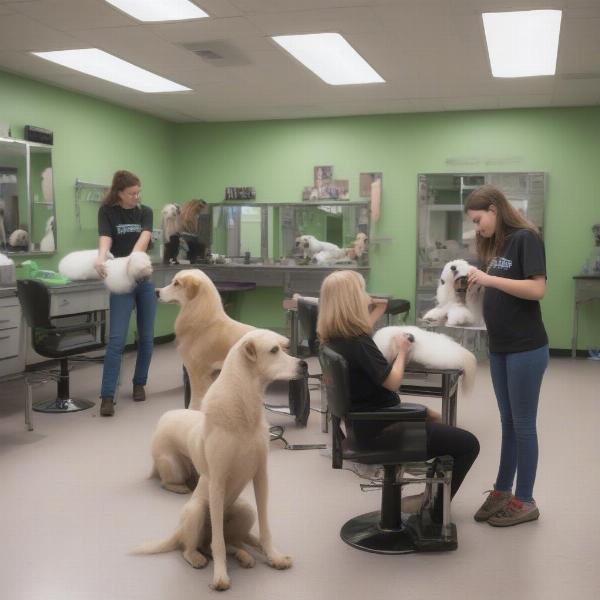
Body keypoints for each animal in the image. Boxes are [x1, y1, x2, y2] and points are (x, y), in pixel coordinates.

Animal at [137, 330, 304, 592]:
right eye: (274, 351)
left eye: (285, 347)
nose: (304, 364)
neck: (245, 409)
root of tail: (178, 531)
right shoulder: (217, 482)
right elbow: (218, 544)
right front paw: (220, 576)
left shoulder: (261, 476)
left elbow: (264, 530)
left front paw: (274, 557)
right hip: (194, 509)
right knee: (195, 546)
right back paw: (199, 558)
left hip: (245, 510)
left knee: (235, 541)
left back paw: (245, 556)